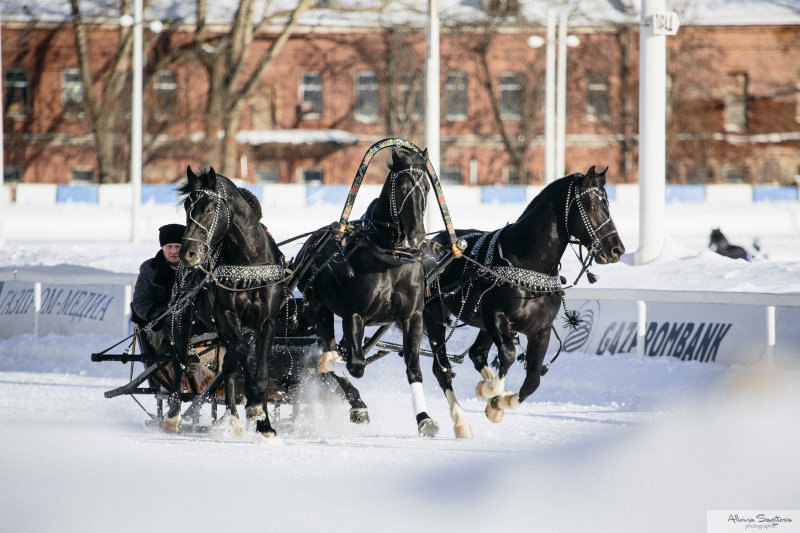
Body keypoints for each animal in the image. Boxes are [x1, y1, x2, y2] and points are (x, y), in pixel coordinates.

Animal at [172, 167, 288, 436]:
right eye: (187, 206)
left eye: (209, 208)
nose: (188, 253)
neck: (251, 263)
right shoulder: (226, 315)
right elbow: (244, 353)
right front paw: (254, 405)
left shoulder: (268, 321)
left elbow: (261, 371)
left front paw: (265, 423)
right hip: (183, 319)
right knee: (179, 363)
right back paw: (173, 417)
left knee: (228, 367)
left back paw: (232, 417)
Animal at [292, 148, 438, 434]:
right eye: (402, 186)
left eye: (426, 186)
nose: (417, 235)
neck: (391, 256)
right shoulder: (354, 315)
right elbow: (355, 364)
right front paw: (340, 363)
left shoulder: (412, 316)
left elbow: (413, 368)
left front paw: (425, 418)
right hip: (318, 308)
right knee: (328, 350)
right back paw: (351, 394)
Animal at [422, 167, 628, 436]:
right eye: (591, 206)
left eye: (607, 204)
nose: (617, 249)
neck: (526, 263)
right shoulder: (496, 318)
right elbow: (509, 355)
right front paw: (492, 391)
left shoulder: (541, 330)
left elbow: (533, 380)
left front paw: (498, 403)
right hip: (435, 315)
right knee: (442, 369)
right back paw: (461, 420)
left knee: (477, 354)